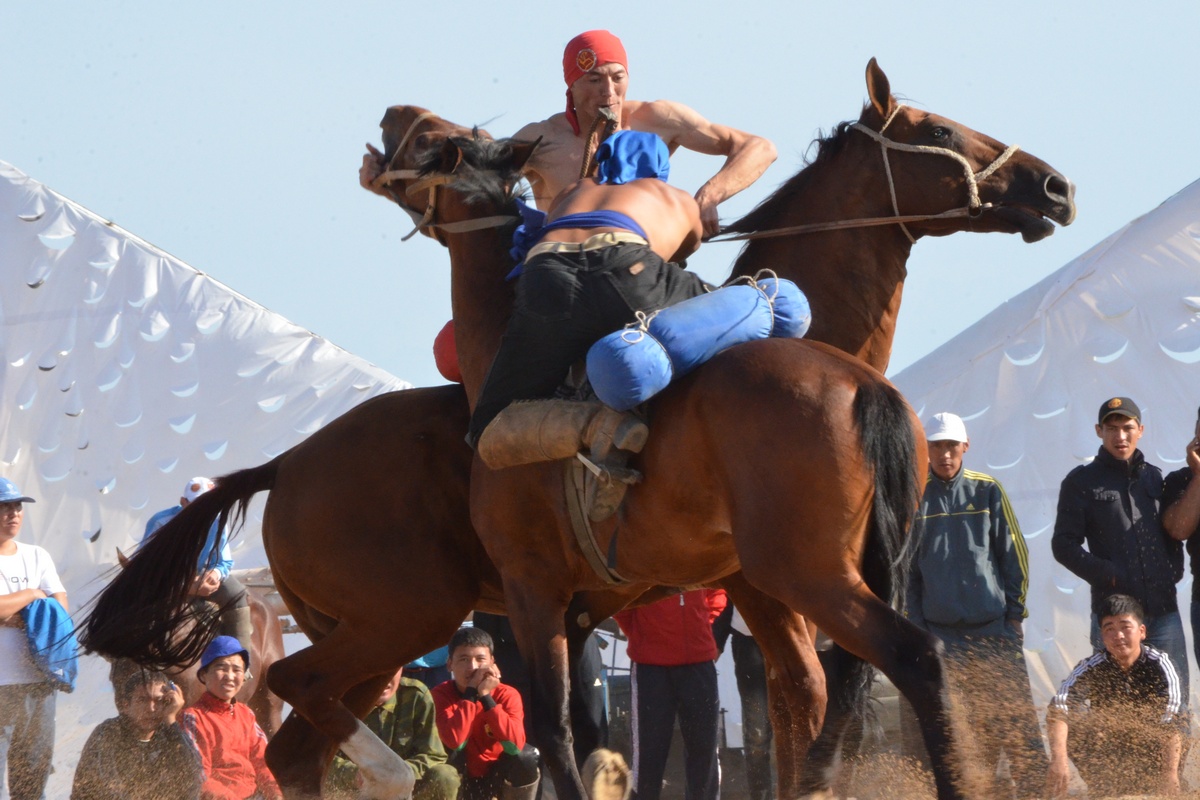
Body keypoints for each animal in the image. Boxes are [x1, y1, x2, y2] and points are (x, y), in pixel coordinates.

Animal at [82, 57, 1080, 800]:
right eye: (940, 130)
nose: (1055, 185)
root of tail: (288, 464)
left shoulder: (677, 593)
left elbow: (776, 708)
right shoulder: (608, 593)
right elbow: (604, 728)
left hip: (394, 622)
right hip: (402, 616)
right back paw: (395, 769)